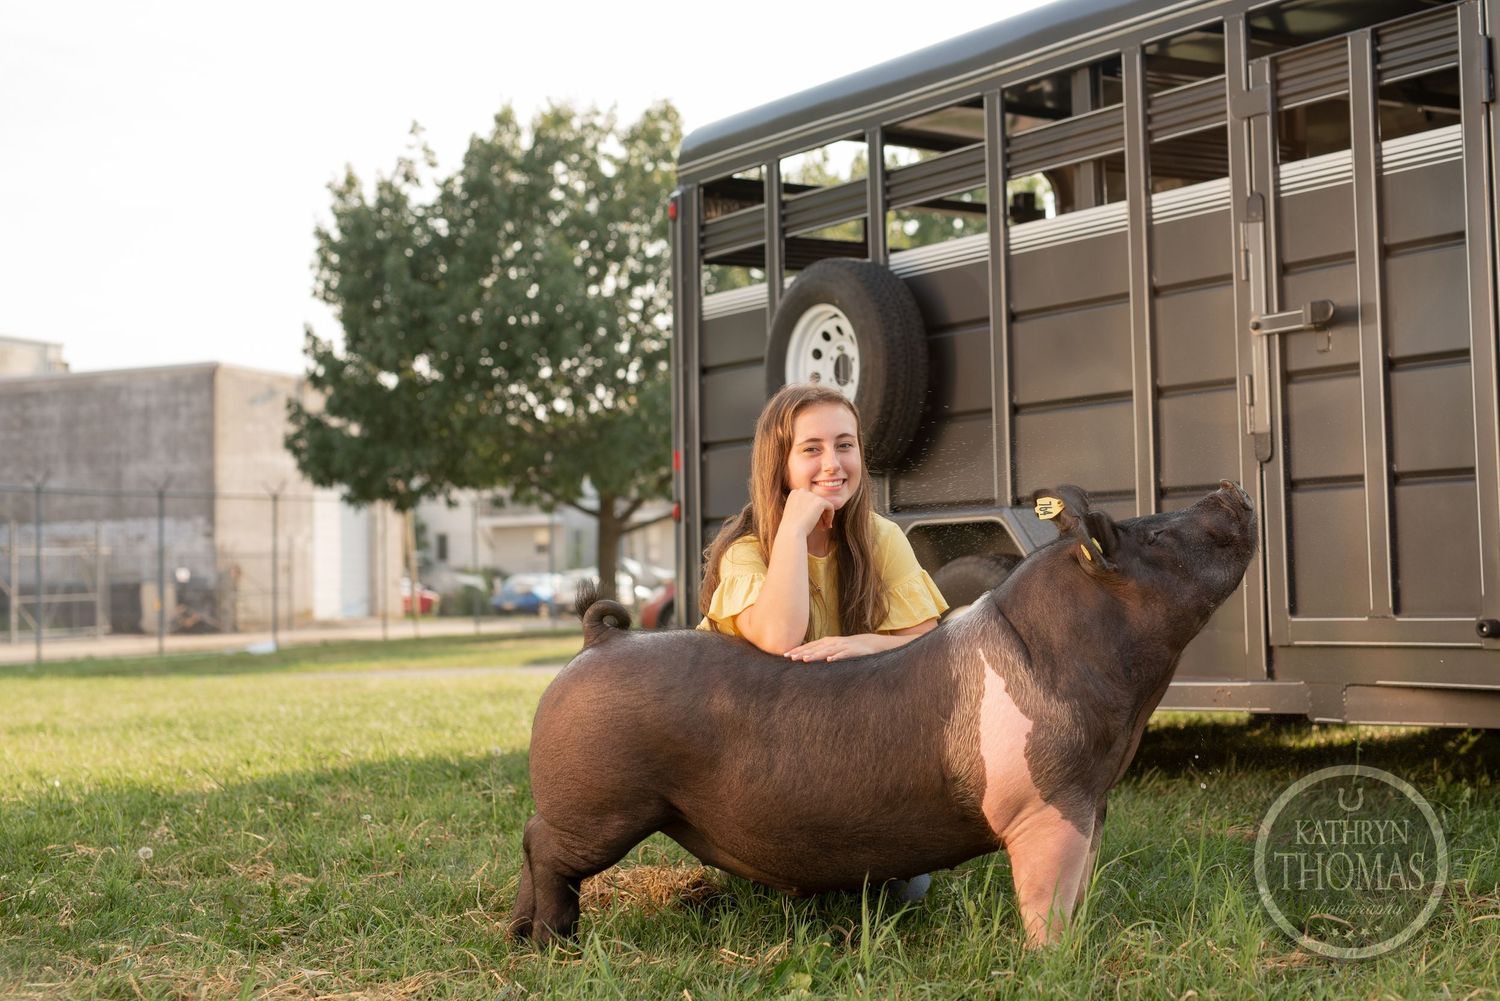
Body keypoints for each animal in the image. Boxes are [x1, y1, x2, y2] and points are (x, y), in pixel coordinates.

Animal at [507, 481, 1256, 947]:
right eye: (1154, 537)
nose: (1230, 487)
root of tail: (600, 640)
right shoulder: (1045, 804)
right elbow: (1048, 894)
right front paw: (1056, 960)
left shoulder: (1090, 802)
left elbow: (1079, 885)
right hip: (601, 803)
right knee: (546, 847)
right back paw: (555, 944)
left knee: (530, 841)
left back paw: (520, 937)